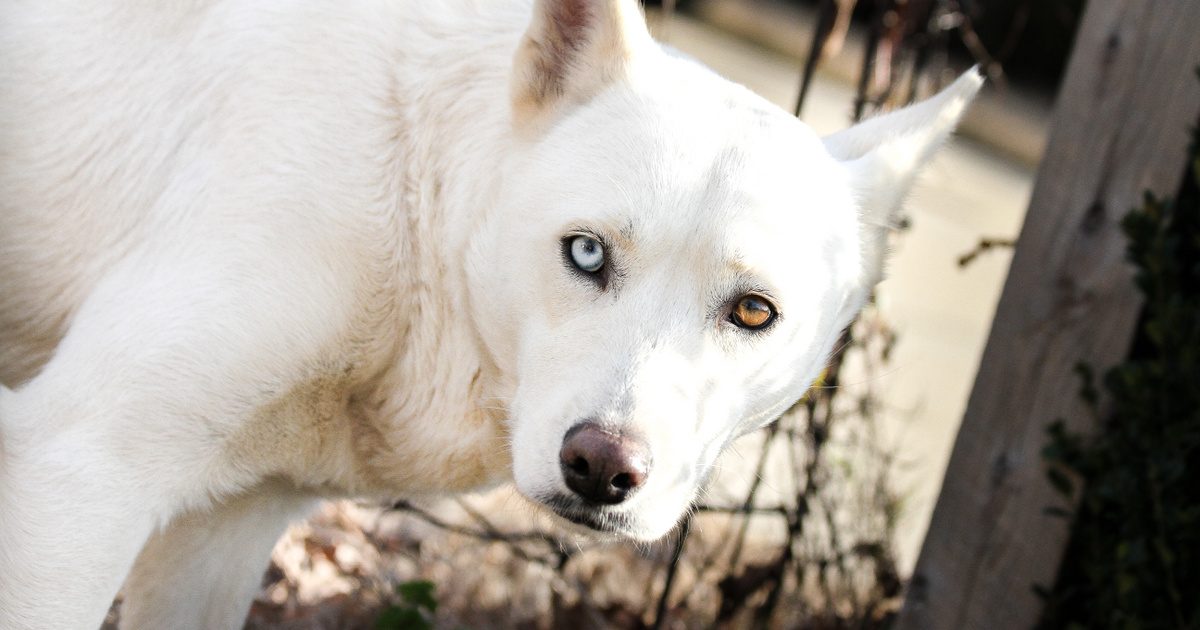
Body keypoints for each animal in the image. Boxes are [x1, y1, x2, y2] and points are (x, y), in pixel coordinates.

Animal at [0, 0, 974, 624]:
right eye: (587, 254)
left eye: (753, 312)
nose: (601, 470)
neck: (415, 193)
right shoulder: (77, 475)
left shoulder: (222, 538)